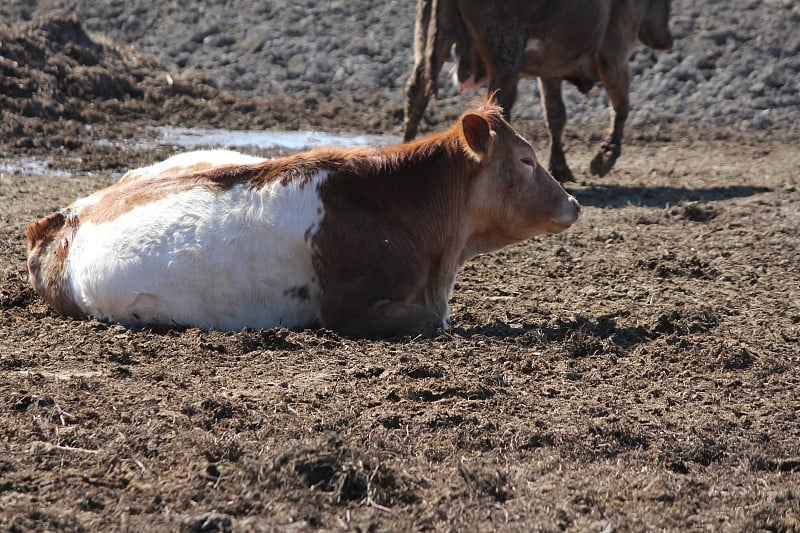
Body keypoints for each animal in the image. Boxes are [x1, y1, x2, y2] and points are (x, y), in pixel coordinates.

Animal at [404, 0, 672, 181]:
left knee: (417, 94)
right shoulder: (614, 57)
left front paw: (560, 167)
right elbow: (621, 107)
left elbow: (555, 115)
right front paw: (604, 158)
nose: (668, 40)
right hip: (504, 59)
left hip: (434, 41)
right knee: (499, 104)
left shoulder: (550, 72)